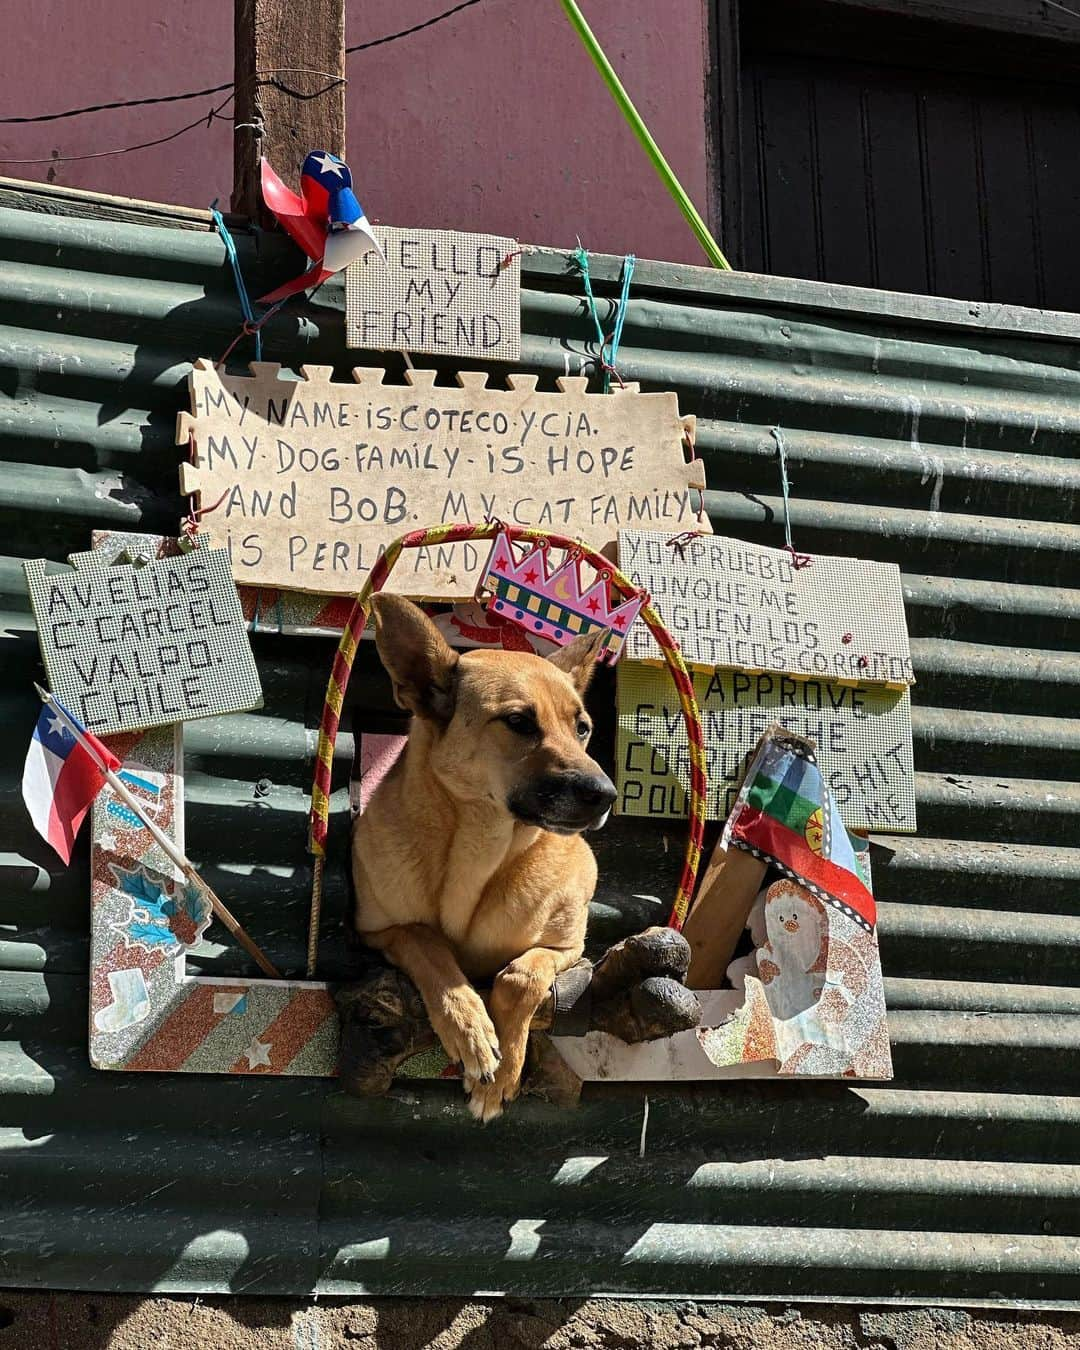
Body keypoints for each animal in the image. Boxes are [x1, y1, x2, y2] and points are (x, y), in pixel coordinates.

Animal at [351, 596, 612, 1123]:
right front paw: (468, 1028)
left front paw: (505, 1069)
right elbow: (428, 944)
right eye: (519, 722)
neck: (482, 847)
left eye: (583, 729)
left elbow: (518, 977)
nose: (606, 794)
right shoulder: (381, 930)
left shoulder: (568, 948)